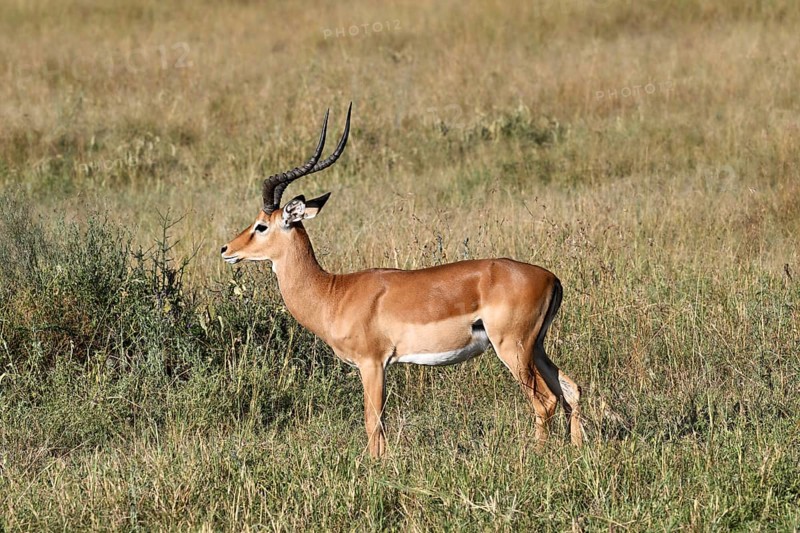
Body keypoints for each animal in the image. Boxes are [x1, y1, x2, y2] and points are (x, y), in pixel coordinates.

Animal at [221, 104, 583, 457]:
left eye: (261, 226)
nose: (226, 249)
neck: (333, 292)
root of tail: (551, 278)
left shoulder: (372, 364)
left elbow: (372, 422)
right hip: (536, 347)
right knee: (571, 389)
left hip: (513, 349)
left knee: (546, 401)